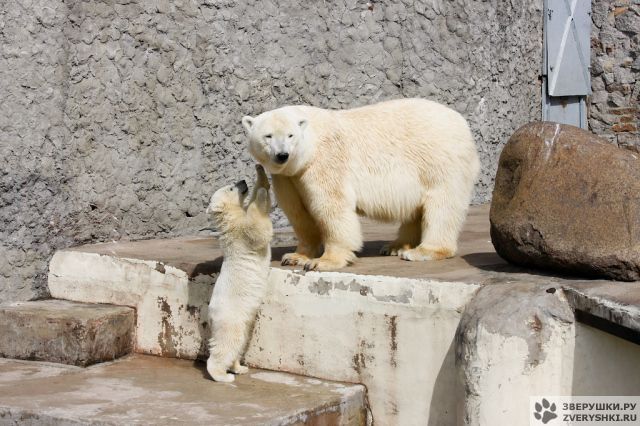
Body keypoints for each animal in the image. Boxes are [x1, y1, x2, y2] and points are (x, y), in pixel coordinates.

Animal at [204, 164, 272, 382]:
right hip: (230, 318)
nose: (242, 181)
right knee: (227, 344)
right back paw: (222, 375)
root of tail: (211, 317)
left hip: (242, 321)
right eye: (231, 188)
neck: (227, 221)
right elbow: (257, 229)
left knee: (240, 342)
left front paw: (261, 175)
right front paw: (261, 192)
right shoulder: (241, 233)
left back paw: (239, 367)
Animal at [242, 98, 478, 272]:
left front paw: (324, 261)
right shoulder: (288, 177)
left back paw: (422, 251)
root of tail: (461, 122)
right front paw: (295, 256)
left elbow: (331, 207)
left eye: (290, 135)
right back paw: (396, 246)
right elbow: (298, 213)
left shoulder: (324, 162)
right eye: (268, 136)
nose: (282, 155)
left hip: (439, 160)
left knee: (442, 205)